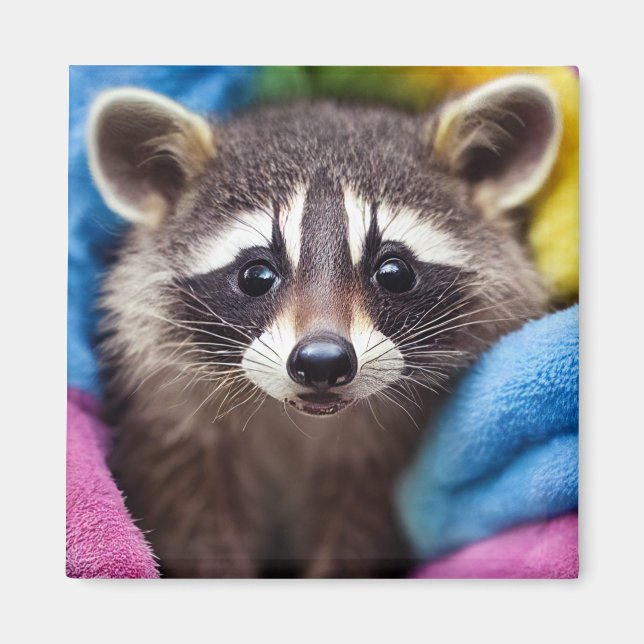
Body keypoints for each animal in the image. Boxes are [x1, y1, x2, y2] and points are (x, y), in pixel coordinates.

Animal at [89, 75, 561, 578]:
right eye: (256, 276)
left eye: (394, 272)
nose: (322, 361)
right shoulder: (174, 428)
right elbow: (193, 523)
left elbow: (358, 534)